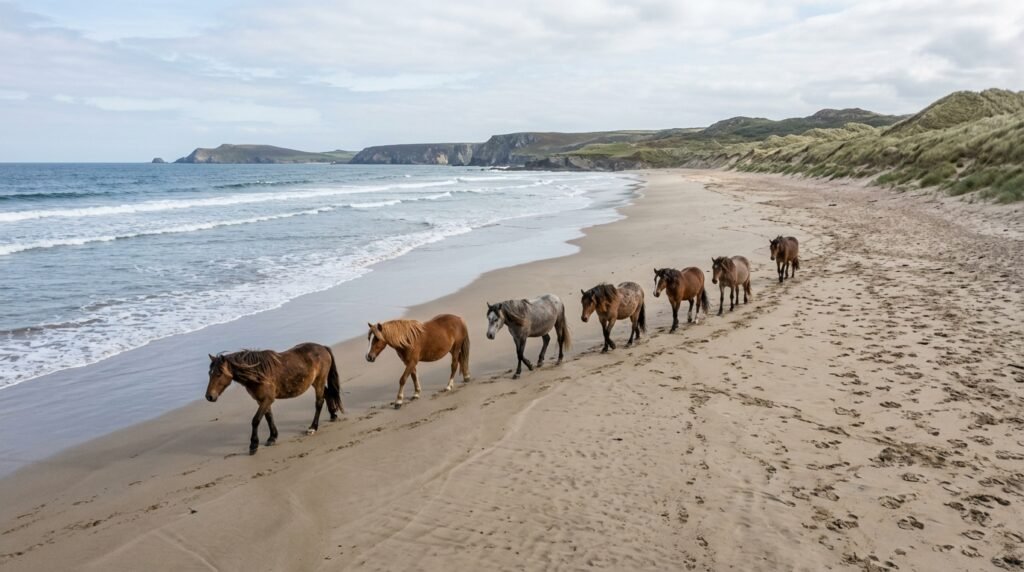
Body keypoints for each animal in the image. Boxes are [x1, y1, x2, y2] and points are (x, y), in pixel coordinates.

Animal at [205, 343, 343, 455]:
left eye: (219, 373)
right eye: (209, 373)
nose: (209, 396)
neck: (258, 373)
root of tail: (323, 348)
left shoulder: (267, 399)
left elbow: (256, 420)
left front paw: (253, 445)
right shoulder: (261, 400)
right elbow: (268, 417)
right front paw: (272, 437)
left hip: (319, 381)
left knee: (319, 402)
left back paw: (313, 427)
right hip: (315, 382)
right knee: (328, 394)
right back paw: (333, 415)